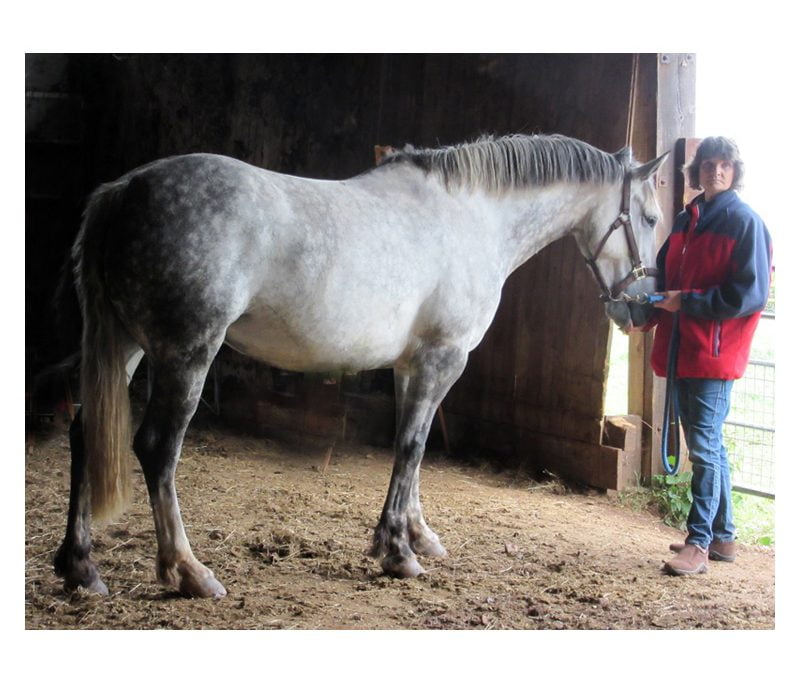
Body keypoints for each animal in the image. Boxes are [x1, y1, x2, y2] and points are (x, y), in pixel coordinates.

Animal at [53, 133, 667, 598]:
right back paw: (188, 571)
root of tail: (124, 190)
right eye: (651, 217)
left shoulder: (411, 365)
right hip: (187, 354)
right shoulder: (443, 358)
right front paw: (396, 552)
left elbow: (411, 446)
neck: (473, 219)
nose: (641, 308)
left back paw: (80, 566)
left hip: (127, 346)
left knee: (85, 432)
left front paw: (418, 536)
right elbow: (412, 448)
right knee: (158, 449)